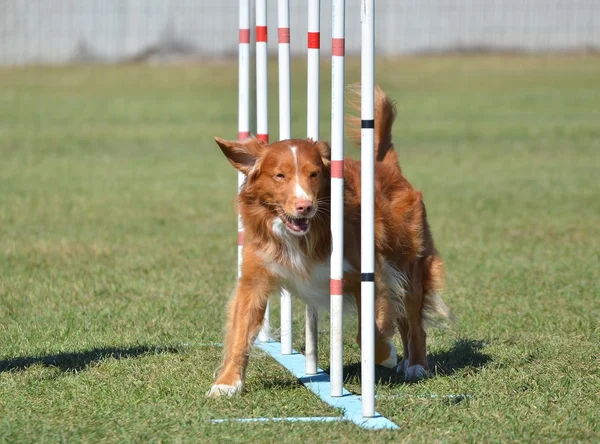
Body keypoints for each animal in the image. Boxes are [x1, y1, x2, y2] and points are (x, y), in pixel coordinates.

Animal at [209, 85, 448, 398]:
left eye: (314, 174)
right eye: (280, 175)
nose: (304, 206)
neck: (302, 236)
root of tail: (386, 166)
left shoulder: (365, 273)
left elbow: (367, 331)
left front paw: (385, 354)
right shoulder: (255, 278)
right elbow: (240, 330)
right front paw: (227, 382)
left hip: (410, 262)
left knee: (414, 319)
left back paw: (416, 364)